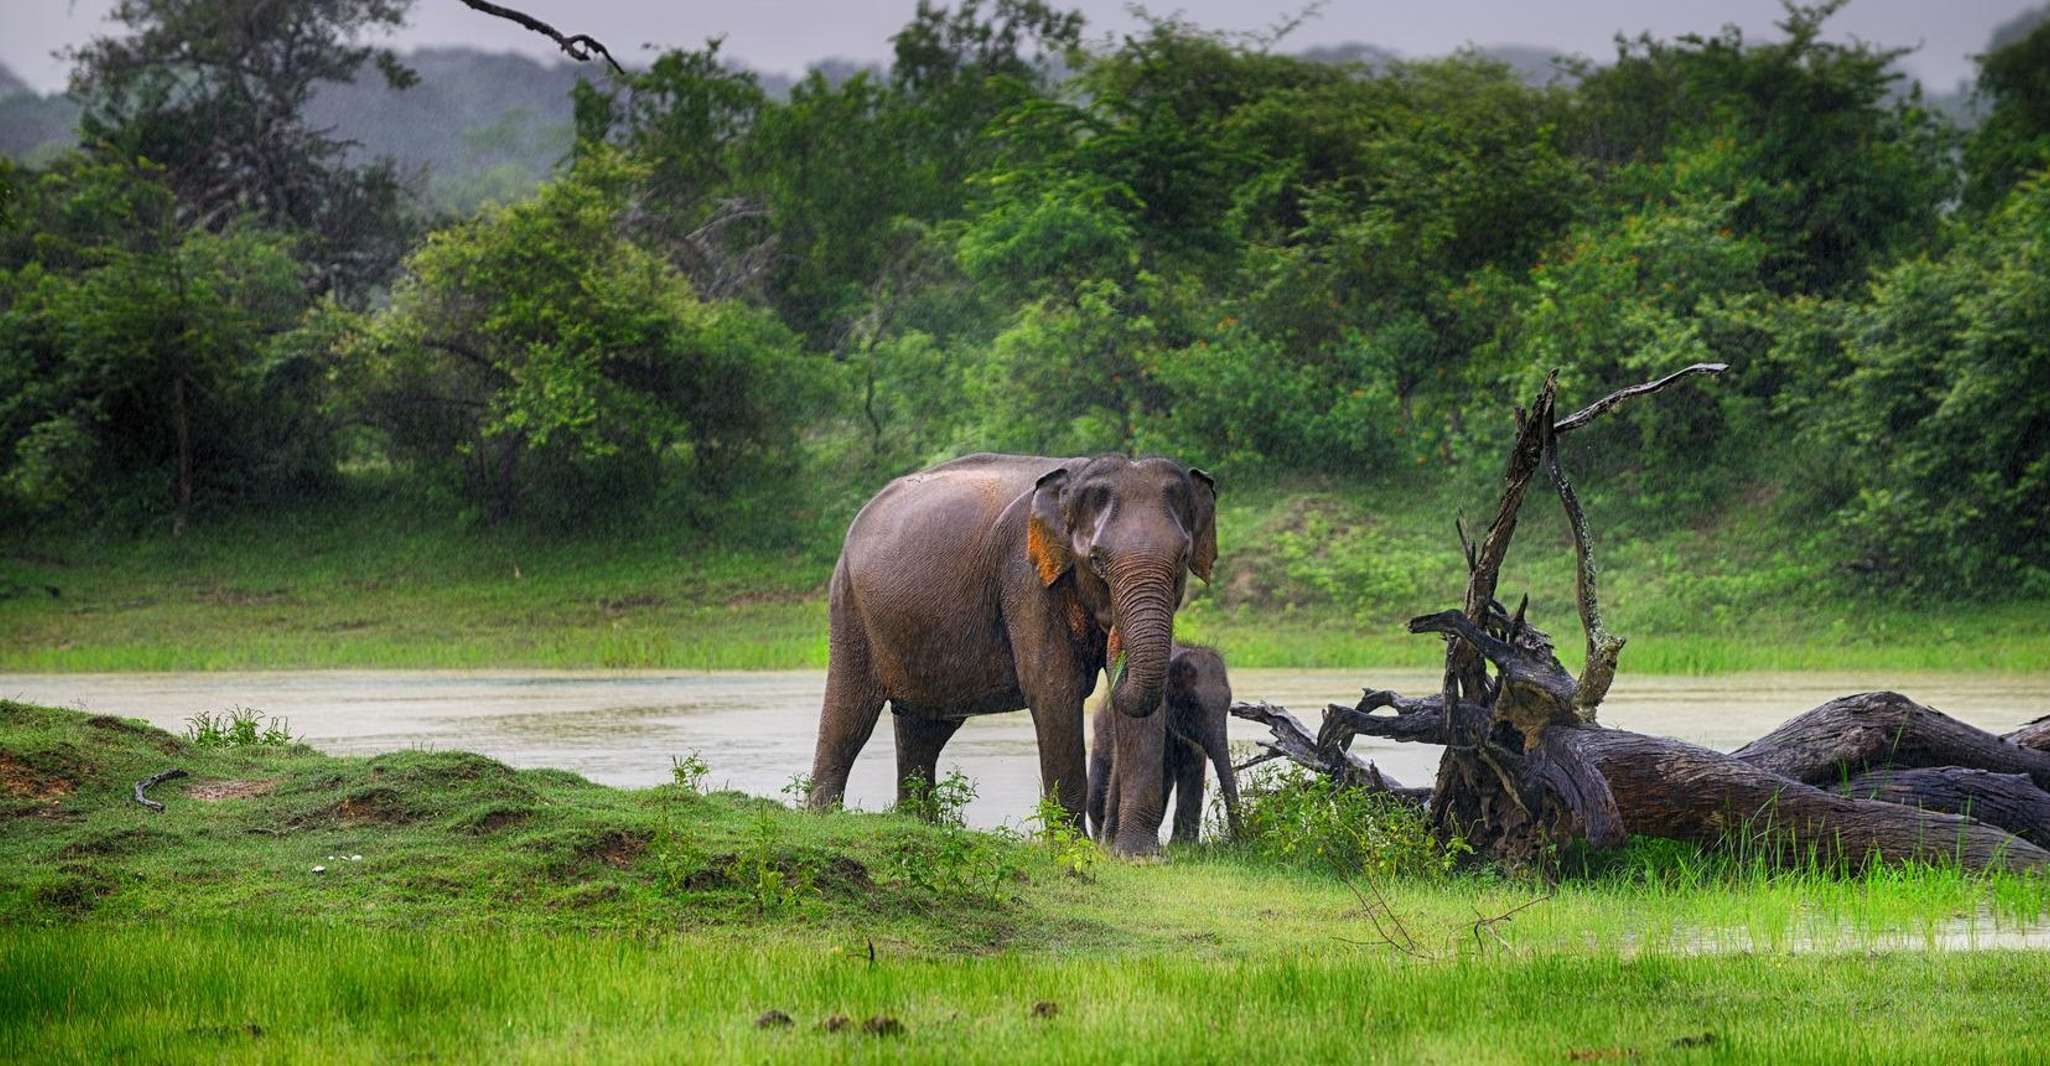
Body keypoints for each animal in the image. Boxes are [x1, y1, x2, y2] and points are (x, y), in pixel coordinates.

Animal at [799, 451, 1213, 824]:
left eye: (1182, 558)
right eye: (1096, 559)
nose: (1112, 635)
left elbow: (1145, 702)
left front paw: (1138, 854)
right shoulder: (1025, 576)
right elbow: (1053, 688)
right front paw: (1073, 847)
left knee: (924, 730)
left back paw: (916, 823)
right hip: (849, 605)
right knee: (849, 716)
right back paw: (823, 818)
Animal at [1082, 639, 1238, 856]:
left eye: (1228, 704)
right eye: (1191, 704)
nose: (1238, 840)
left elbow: (1193, 766)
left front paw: (1184, 847)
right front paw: (1111, 846)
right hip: (1100, 734)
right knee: (1095, 798)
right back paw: (1100, 841)